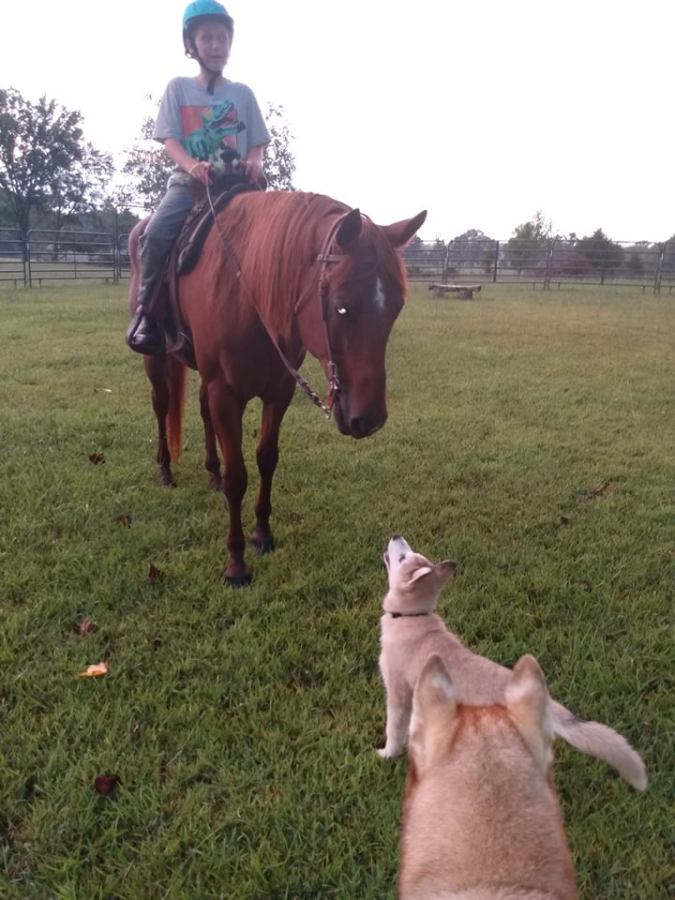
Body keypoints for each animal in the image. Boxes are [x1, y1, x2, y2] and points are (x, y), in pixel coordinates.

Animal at [128, 190, 427, 585]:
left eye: (395, 308)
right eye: (342, 308)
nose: (370, 418)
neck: (246, 289)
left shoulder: (279, 391)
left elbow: (266, 459)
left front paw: (262, 534)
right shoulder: (226, 393)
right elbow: (238, 475)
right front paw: (236, 564)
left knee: (202, 411)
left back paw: (211, 473)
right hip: (157, 358)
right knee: (161, 405)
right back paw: (165, 469)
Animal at [378, 535, 647, 791]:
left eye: (403, 557)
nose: (396, 534)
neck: (412, 617)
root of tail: (546, 701)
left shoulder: (398, 693)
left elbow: (394, 730)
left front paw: (387, 754)